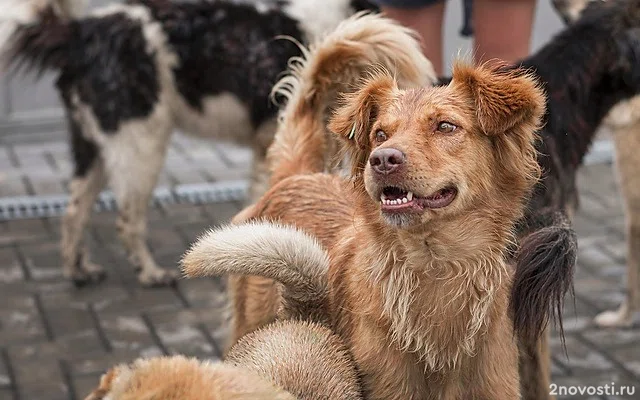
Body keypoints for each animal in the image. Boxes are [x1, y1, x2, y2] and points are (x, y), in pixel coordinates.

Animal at [0, 0, 380, 288]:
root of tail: (81, 34)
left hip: (93, 147)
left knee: (74, 212)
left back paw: (78, 270)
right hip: (141, 145)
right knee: (127, 220)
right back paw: (150, 273)